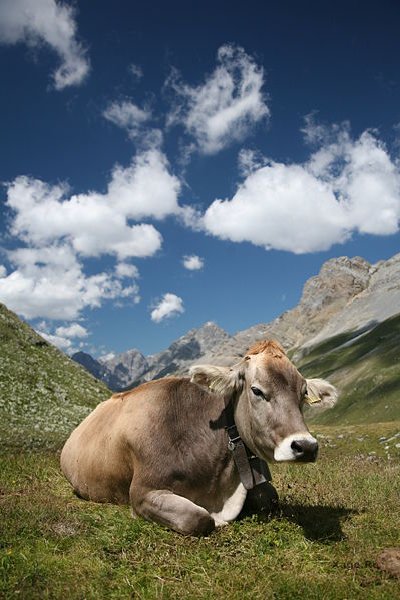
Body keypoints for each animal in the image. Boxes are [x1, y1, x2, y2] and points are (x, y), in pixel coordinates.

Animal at [61, 340, 338, 536]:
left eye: (303, 393)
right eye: (257, 390)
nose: (305, 446)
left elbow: (270, 498)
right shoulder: (142, 492)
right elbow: (199, 519)